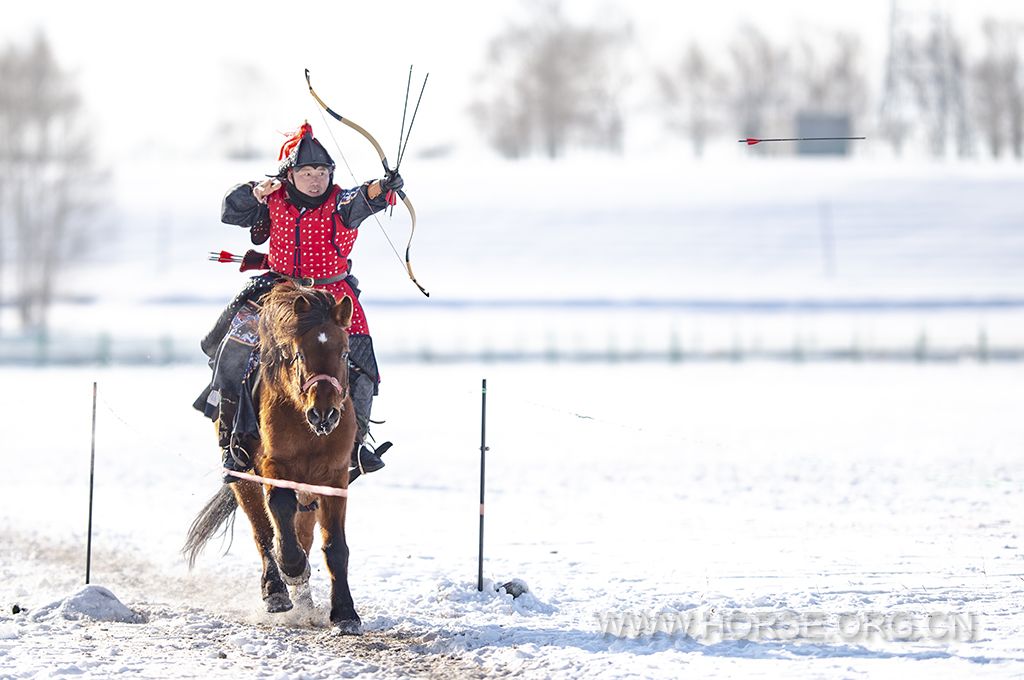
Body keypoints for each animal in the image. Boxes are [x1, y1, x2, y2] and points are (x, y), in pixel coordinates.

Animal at [188, 280, 364, 630]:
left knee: (302, 532)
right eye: (299, 354)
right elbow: (279, 512)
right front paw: (292, 568)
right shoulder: (275, 465)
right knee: (263, 532)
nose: (324, 413)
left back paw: (304, 601)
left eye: (344, 352)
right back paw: (277, 590)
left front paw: (345, 612)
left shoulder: (334, 475)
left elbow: (335, 545)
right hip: (242, 477)